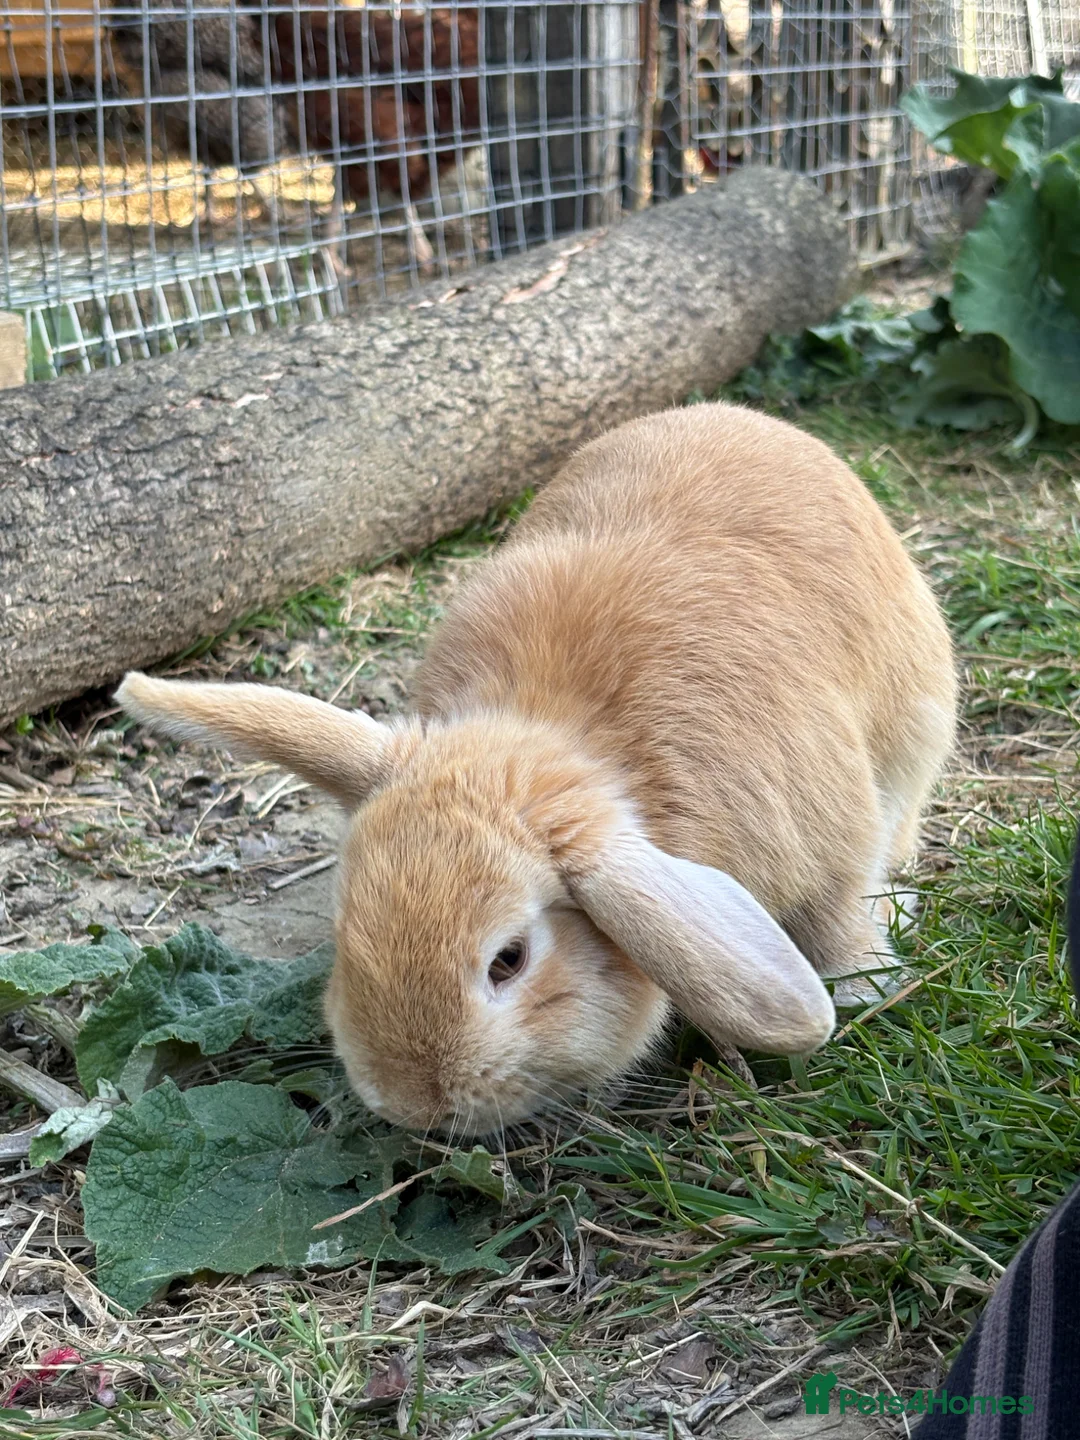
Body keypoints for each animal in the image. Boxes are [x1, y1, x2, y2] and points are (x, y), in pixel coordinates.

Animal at [116, 401, 957, 1136]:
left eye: (510, 960)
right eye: (343, 926)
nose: (414, 1105)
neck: (551, 738)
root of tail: (742, 417)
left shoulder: (832, 845)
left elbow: (838, 917)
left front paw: (867, 987)